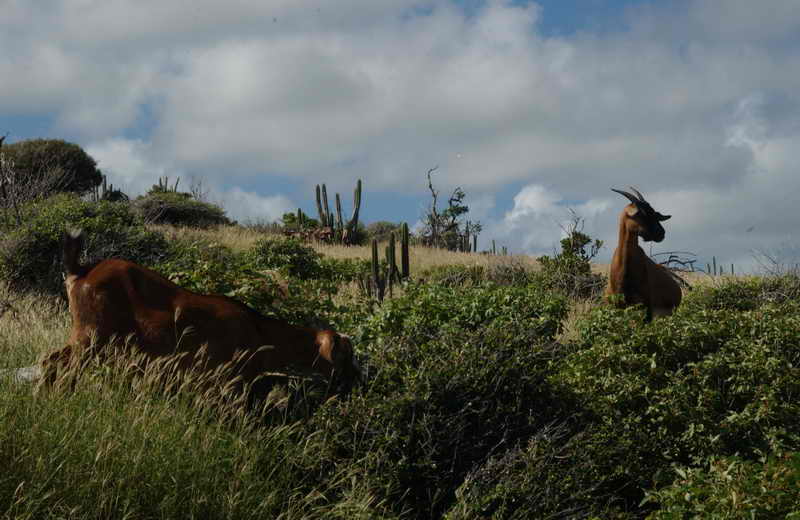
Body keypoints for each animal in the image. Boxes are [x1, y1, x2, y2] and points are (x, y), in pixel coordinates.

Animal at [39, 230, 360, 392]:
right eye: (346, 354)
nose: (357, 380)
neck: (260, 331)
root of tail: (80, 271)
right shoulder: (223, 382)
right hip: (92, 337)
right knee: (57, 364)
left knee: (50, 361)